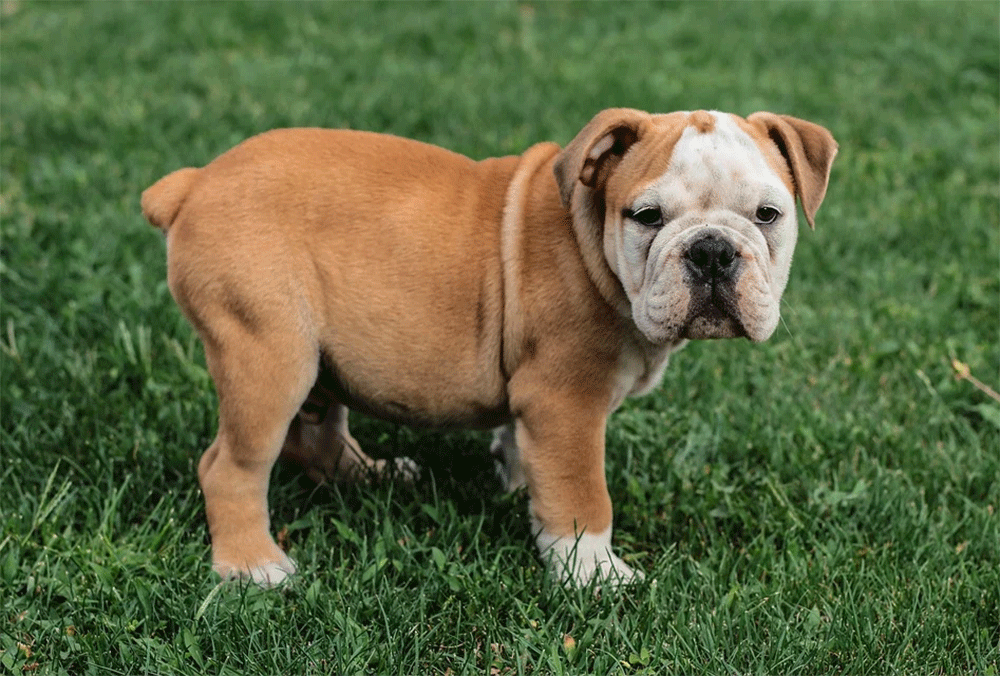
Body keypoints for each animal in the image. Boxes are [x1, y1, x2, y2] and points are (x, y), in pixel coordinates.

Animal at [143, 108, 836, 588]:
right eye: (647, 217)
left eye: (768, 215)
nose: (712, 250)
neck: (590, 243)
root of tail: (194, 182)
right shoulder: (566, 402)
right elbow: (583, 494)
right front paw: (594, 575)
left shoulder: (536, 401)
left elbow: (528, 456)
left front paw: (520, 488)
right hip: (270, 354)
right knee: (231, 466)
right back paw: (252, 567)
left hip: (316, 354)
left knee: (316, 432)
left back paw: (375, 475)